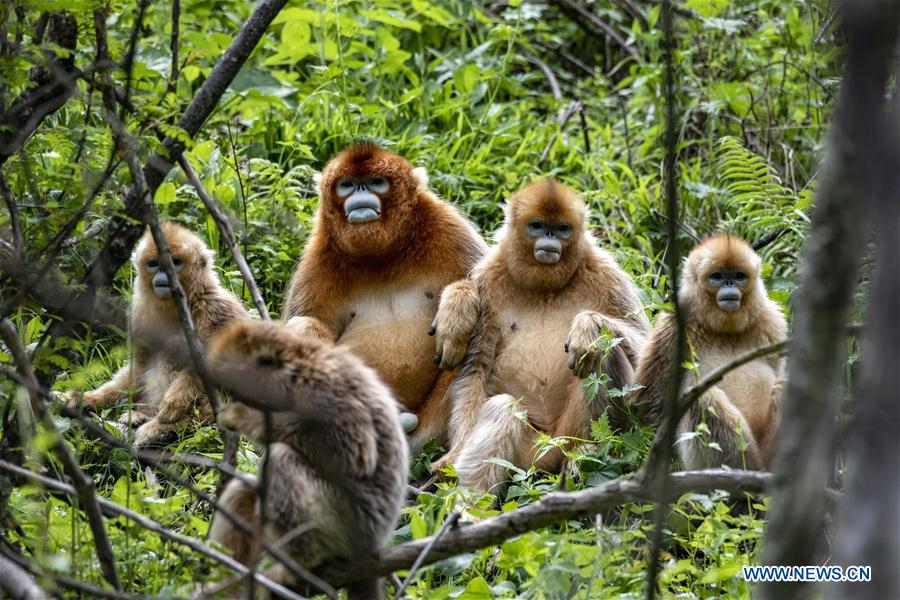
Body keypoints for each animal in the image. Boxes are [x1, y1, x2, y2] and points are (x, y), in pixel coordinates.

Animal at [62, 221, 248, 446]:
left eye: (175, 263)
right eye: (153, 264)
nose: (163, 275)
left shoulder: (216, 308)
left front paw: (175, 401)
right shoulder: (139, 313)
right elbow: (139, 364)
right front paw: (90, 398)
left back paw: (165, 427)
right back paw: (142, 415)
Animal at [206, 318, 406, 596]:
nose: (232, 396)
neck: (298, 368)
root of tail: (373, 545)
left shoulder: (323, 387)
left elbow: (353, 452)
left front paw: (243, 418)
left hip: (346, 526)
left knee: (280, 459)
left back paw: (301, 564)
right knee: (244, 490)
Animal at [286, 142, 488, 450]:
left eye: (375, 182)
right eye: (347, 185)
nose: (360, 192)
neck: (383, 257)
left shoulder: (445, 226)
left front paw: (455, 314)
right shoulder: (317, 259)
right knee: (301, 325)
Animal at [434, 180, 648, 490]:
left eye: (562, 228)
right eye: (537, 226)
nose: (549, 238)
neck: (545, 288)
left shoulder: (605, 271)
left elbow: (645, 356)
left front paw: (586, 325)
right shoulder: (489, 279)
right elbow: (476, 368)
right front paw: (455, 454)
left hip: (565, 436)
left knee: (603, 350)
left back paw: (583, 452)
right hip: (526, 456)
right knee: (503, 409)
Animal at [624, 233, 788, 468]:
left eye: (739, 276)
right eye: (717, 277)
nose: (729, 283)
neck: (725, 330)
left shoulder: (773, 323)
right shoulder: (673, 327)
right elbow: (649, 401)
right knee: (702, 398)